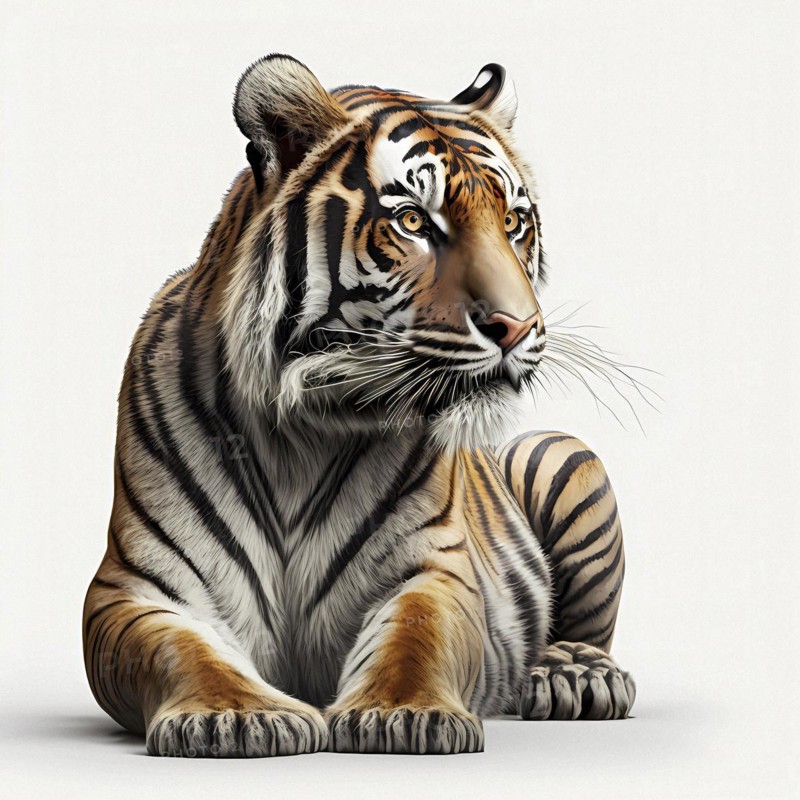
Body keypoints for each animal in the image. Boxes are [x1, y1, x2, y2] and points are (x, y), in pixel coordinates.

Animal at [83, 54, 635, 758]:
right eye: (414, 222)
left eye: (513, 222)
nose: (517, 327)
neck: (299, 436)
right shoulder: (135, 587)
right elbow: (180, 651)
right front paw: (238, 714)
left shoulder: (432, 572)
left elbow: (416, 638)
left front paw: (405, 713)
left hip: (565, 454)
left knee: (586, 631)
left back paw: (574, 675)